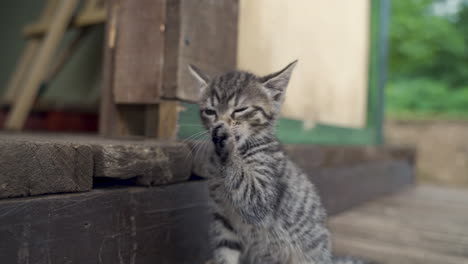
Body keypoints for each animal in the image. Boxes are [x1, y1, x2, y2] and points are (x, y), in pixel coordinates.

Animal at [189, 61, 370, 264]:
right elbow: (225, 250)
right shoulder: (223, 217)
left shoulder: (262, 196)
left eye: (240, 110)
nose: (218, 126)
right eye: (210, 112)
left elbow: (245, 183)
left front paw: (227, 145)